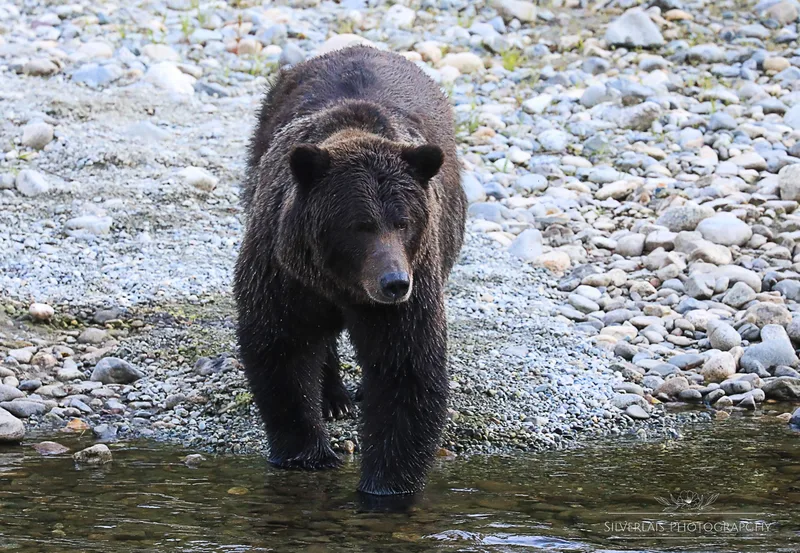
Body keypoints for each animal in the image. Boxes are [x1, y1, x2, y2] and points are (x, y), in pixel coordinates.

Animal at [234, 45, 467, 496]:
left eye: (403, 222)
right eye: (359, 225)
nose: (394, 283)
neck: (341, 283)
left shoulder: (414, 286)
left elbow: (405, 370)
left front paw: (386, 483)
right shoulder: (284, 272)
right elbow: (281, 349)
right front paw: (308, 452)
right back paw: (333, 397)